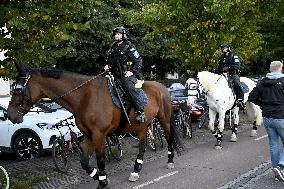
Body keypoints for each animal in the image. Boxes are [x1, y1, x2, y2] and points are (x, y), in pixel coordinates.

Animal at [7, 63, 184, 189]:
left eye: (18, 89)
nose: (9, 114)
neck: (84, 96)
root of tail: (162, 87)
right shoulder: (88, 135)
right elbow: (84, 161)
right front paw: (98, 177)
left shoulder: (99, 135)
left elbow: (100, 159)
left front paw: (103, 181)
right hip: (141, 126)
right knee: (142, 146)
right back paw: (135, 170)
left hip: (164, 120)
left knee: (169, 138)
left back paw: (170, 161)